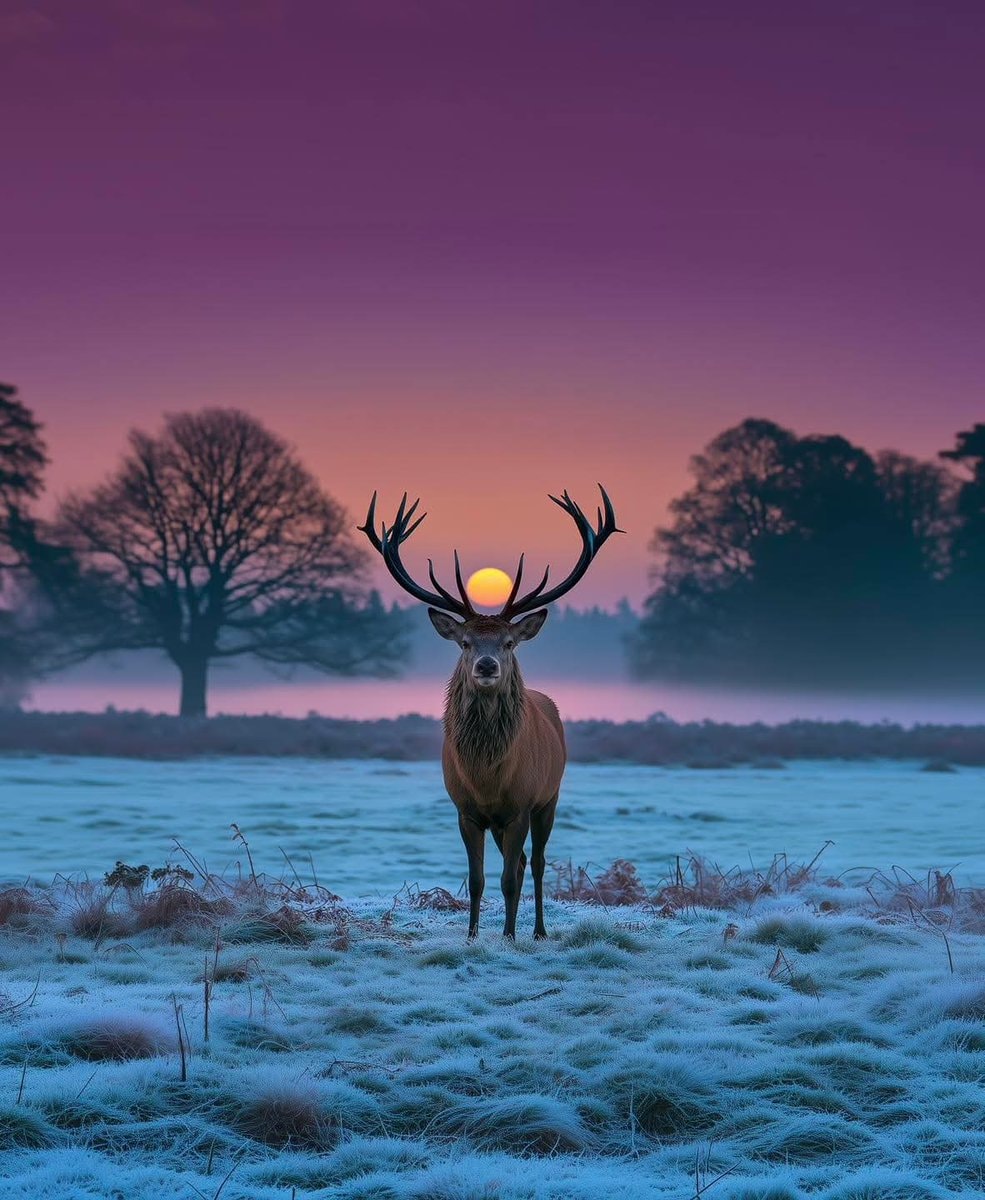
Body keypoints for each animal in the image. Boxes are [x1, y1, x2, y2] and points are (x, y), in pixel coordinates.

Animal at [359, 485, 621, 940]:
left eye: (509, 643)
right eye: (465, 642)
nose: (486, 665)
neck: (486, 777)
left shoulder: (520, 806)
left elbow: (509, 879)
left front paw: (509, 936)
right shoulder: (466, 811)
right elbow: (478, 879)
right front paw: (472, 936)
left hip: (549, 796)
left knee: (536, 864)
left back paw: (537, 930)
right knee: (520, 863)